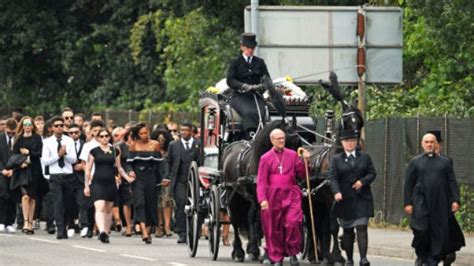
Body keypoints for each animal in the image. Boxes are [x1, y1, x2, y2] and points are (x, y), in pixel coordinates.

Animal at [221, 120, 300, 262]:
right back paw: (239, 251)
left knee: (250, 217)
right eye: (286, 142)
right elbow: (265, 223)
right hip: (233, 194)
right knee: (234, 220)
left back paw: (252, 249)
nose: (295, 176)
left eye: (298, 144)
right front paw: (268, 255)